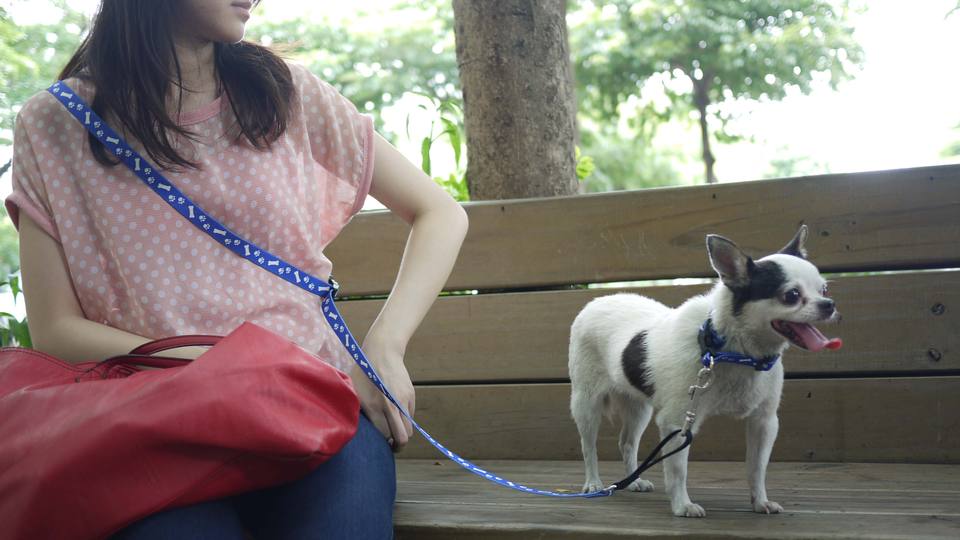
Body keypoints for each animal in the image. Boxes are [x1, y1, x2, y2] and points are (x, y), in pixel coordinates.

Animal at [568, 225, 841, 517]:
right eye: (791, 296)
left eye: (824, 288)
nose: (829, 303)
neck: (732, 352)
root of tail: (597, 300)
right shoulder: (678, 422)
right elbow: (678, 470)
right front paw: (682, 505)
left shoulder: (764, 422)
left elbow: (757, 468)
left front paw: (760, 501)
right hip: (587, 403)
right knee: (588, 446)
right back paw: (593, 483)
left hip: (638, 408)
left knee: (627, 443)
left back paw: (633, 481)